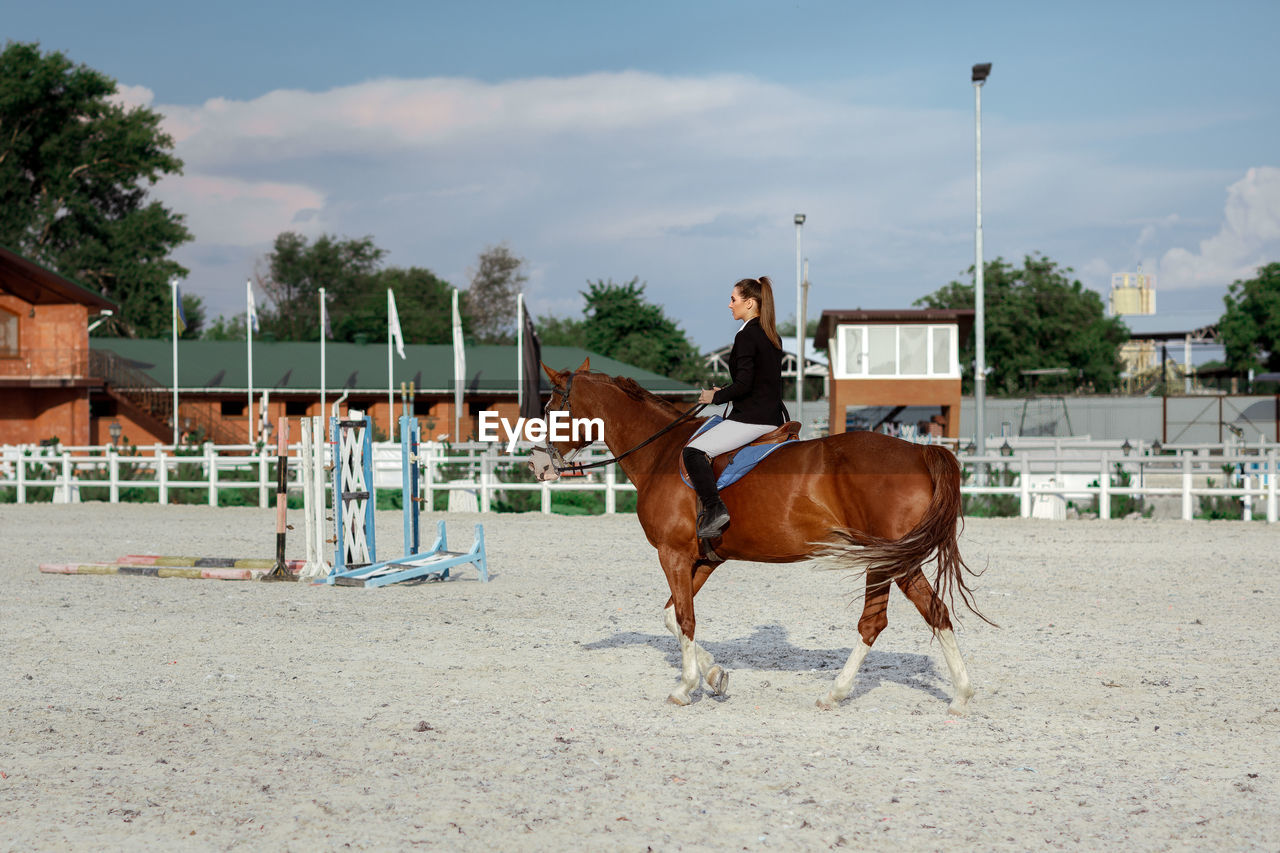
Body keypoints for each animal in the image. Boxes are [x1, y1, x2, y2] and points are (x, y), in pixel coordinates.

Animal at [529, 358, 977, 712]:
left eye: (551, 409)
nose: (536, 465)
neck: (661, 452)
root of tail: (920, 451)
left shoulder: (673, 553)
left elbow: (685, 617)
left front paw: (685, 687)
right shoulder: (704, 559)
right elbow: (673, 616)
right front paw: (714, 676)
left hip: (888, 560)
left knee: (886, 620)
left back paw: (844, 692)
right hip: (893, 560)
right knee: (921, 614)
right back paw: (951, 696)